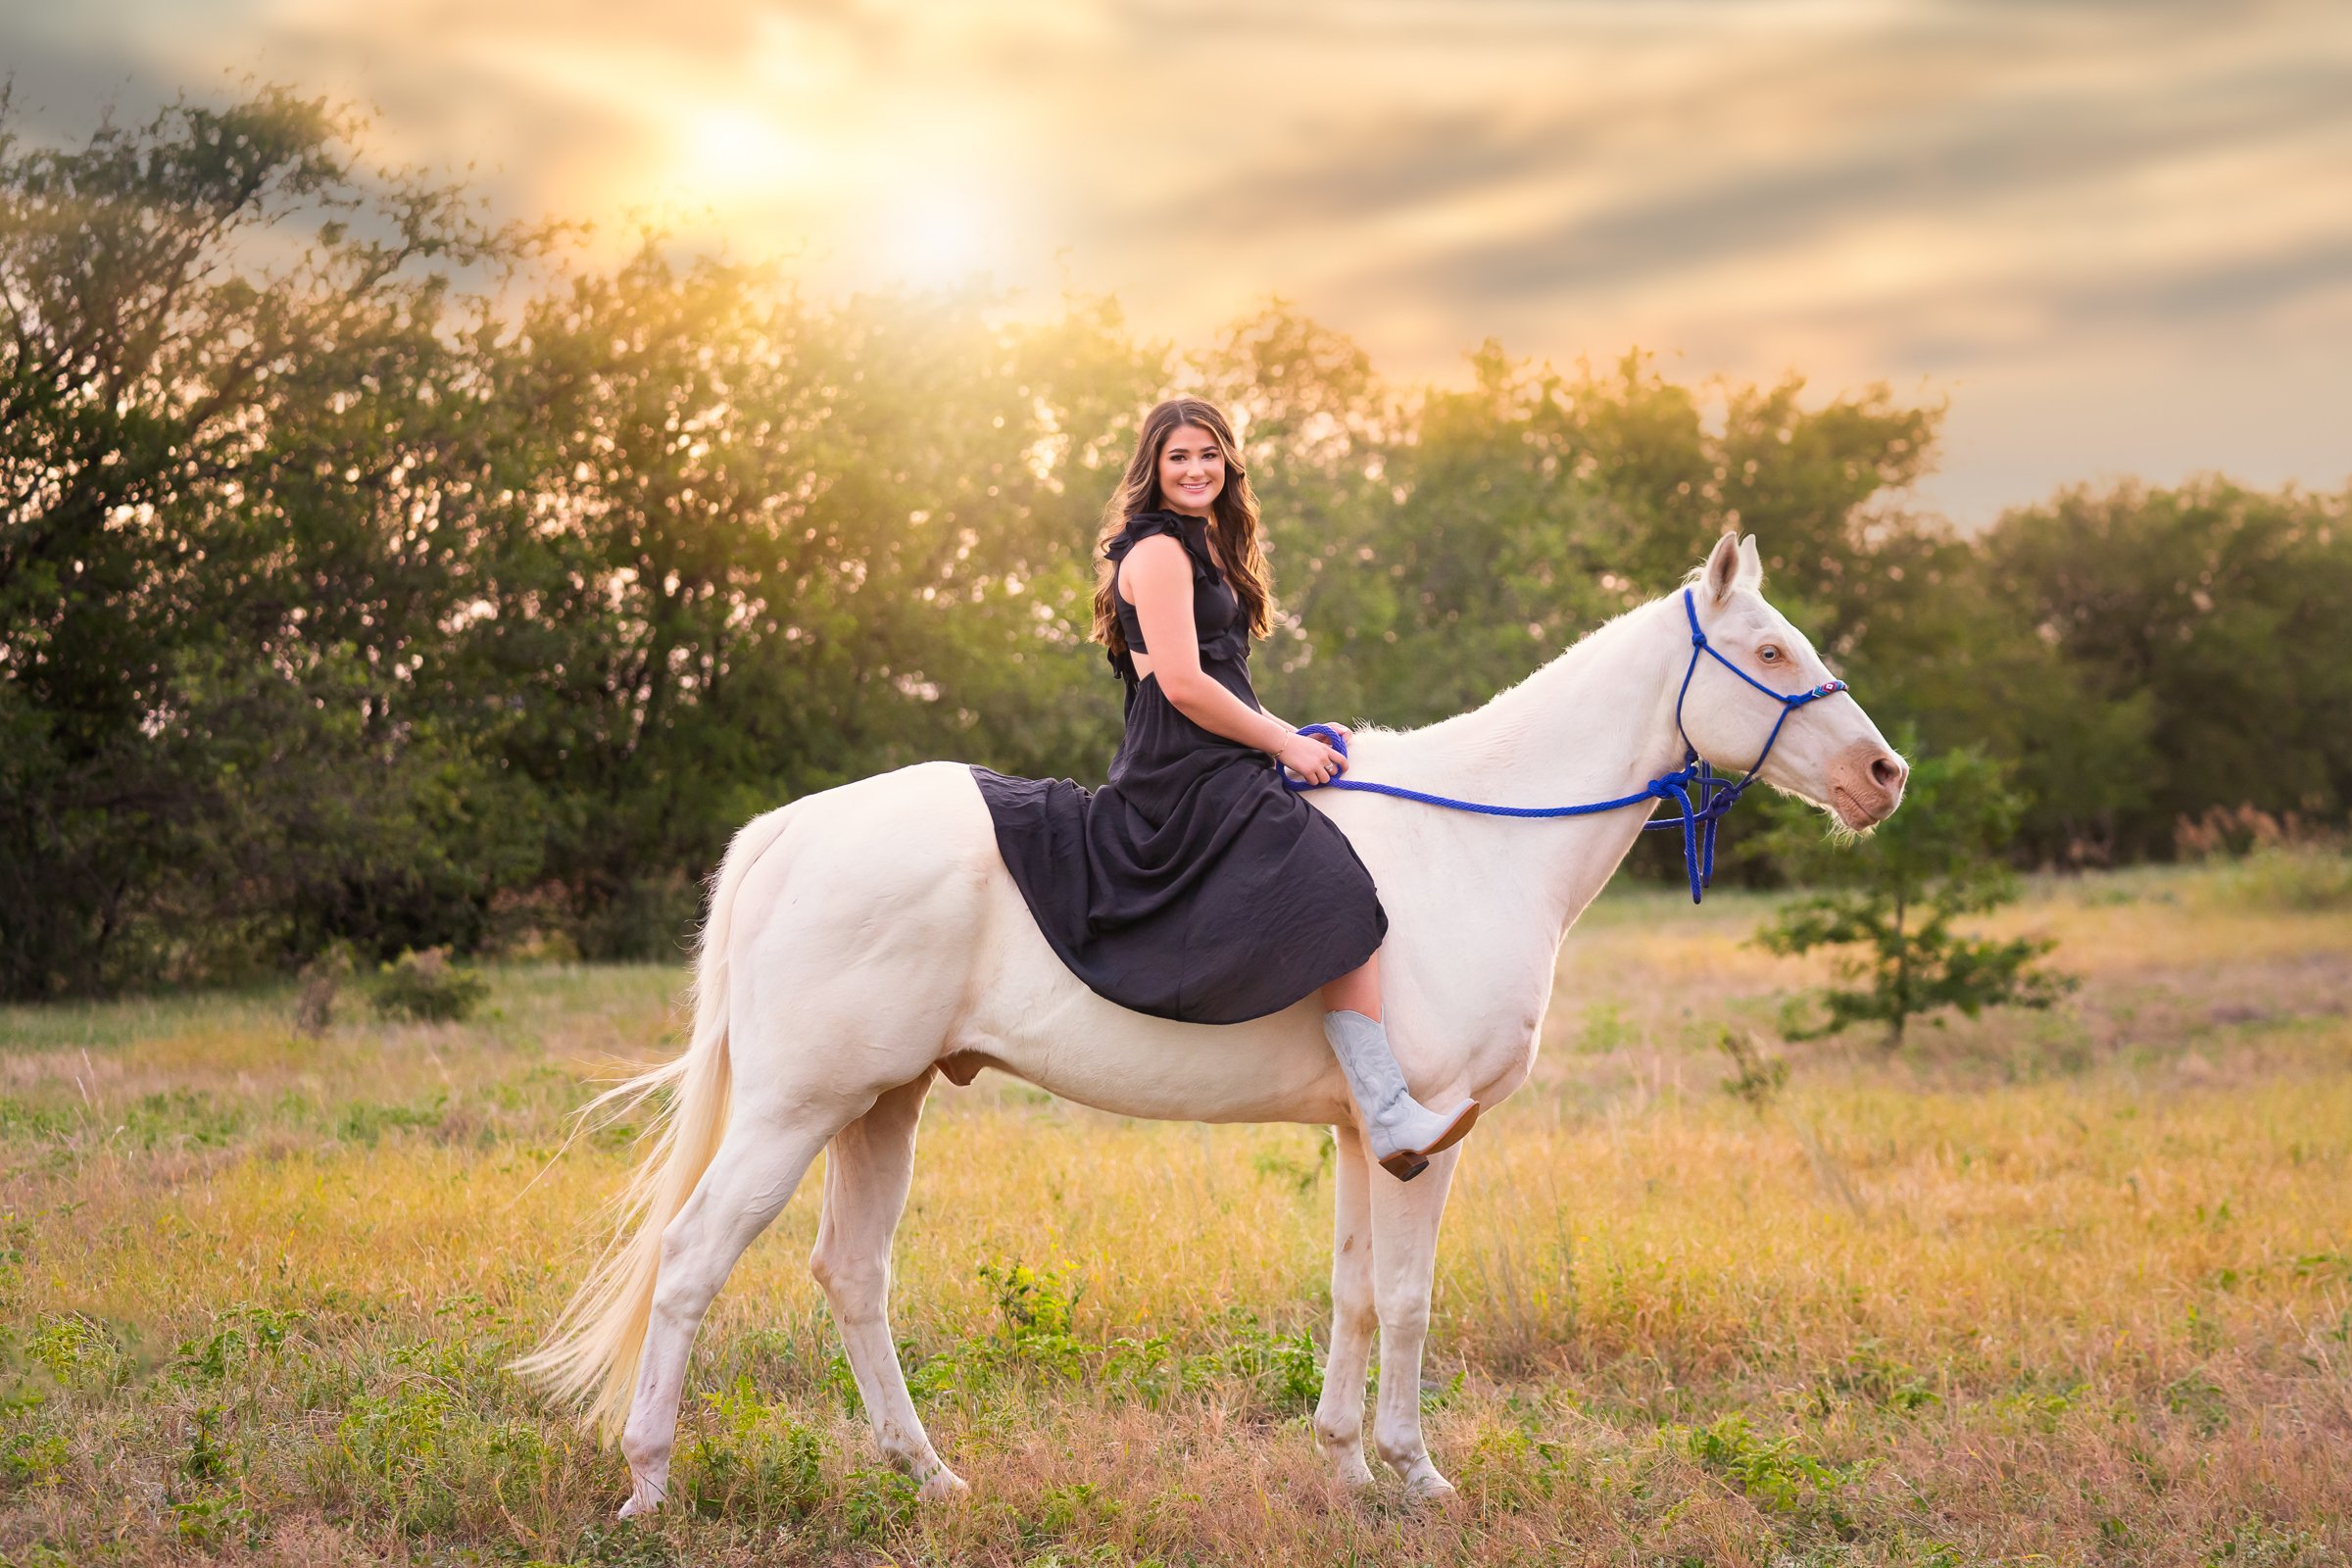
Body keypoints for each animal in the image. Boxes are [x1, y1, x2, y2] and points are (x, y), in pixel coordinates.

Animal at [510, 533, 1890, 1513]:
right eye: (1770, 652)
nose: (1885, 775)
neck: (1476, 839)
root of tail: (789, 830)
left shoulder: (1365, 1136)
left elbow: (1353, 1294)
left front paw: (1345, 1466)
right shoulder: (1430, 1141)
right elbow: (1410, 1299)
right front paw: (1418, 1474)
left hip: (879, 1107)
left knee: (852, 1274)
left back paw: (929, 1476)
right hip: (797, 1108)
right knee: (694, 1261)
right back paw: (649, 1485)